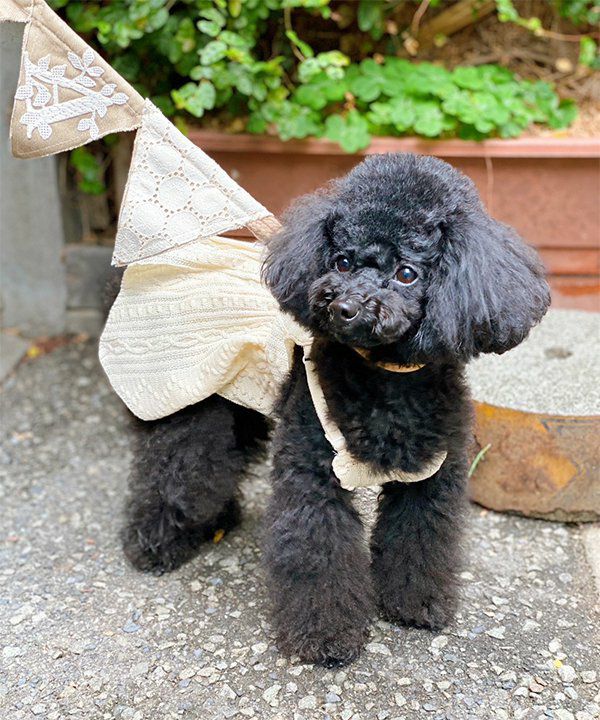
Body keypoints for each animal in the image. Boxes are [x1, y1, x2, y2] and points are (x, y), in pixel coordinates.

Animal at [119, 153, 550, 667]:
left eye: (407, 273)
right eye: (342, 261)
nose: (343, 306)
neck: (385, 378)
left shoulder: (433, 474)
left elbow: (422, 536)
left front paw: (416, 604)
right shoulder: (313, 469)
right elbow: (317, 549)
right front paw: (326, 637)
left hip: (238, 405)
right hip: (194, 407)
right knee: (177, 475)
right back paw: (153, 546)